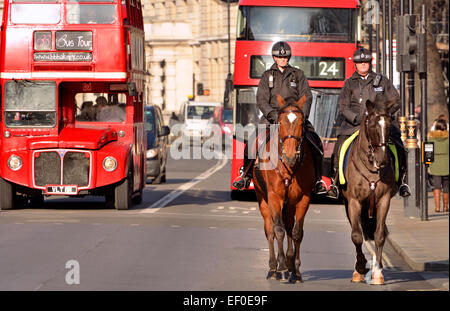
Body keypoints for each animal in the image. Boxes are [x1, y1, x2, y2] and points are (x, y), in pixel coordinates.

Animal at [255, 95, 314, 286]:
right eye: (280, 122)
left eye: (302, 122)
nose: (290, 155)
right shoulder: (274, 197)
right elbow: (278, 230)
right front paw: (281, 266)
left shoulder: (304, 199)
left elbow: (296, 233)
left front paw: (296, 269)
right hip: (263, 199)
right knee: (270, 229)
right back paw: (273, 267)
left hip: (290, 204)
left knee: (288, 226)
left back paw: (290, 266)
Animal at [342, 96, 398, 286]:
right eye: (372, 125)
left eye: (389, 124)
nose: (382, 160)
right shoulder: (354, 201)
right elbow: (356, 235)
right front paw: (360, 267)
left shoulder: (384, 200)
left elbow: (379, 235)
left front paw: (377, 273)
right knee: (357, 231)